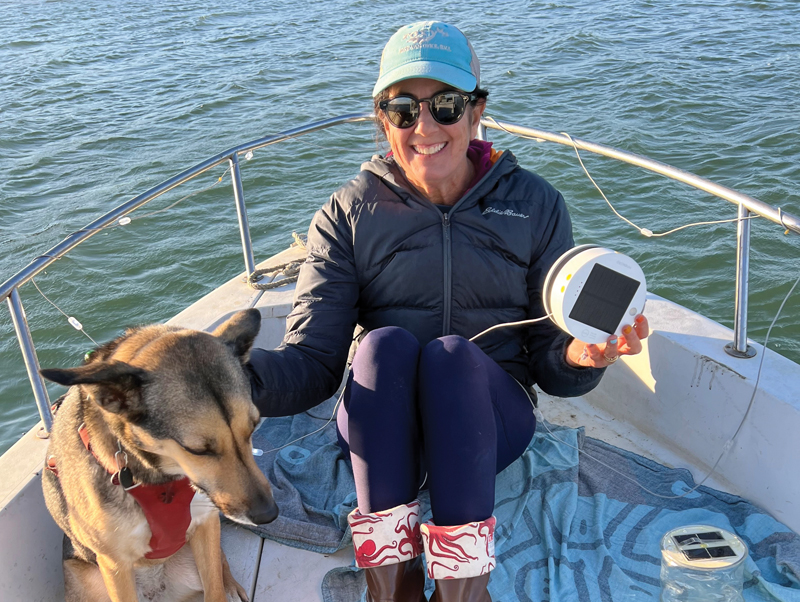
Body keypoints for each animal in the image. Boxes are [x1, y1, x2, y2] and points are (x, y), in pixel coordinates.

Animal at [40, 310, 278, 600]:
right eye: (198, 450)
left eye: (253, 426)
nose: (269, 515)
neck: (159, 478)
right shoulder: (115, 566)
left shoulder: (206, 523)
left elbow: (215, 590)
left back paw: (231, 586)